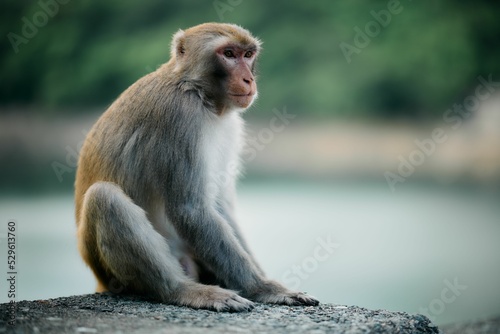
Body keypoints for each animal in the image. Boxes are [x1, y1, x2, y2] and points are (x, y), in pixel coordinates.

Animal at [74, 22, 318, 310]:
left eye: (247, 55)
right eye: (228, 54)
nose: (249, 79)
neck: (198, 92)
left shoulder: (229, 125)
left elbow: (220, 206)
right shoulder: (180, 116)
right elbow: (190, 210)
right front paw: (263, 288)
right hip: (110, 272)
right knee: (105, 197)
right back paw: (181, 290)